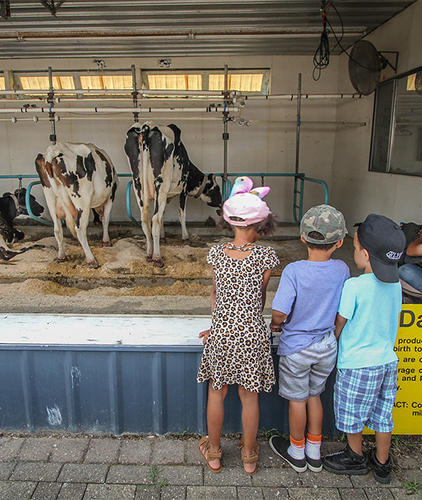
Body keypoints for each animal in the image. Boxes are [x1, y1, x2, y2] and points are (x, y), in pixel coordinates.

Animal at [124, 121, 223, 266]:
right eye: (217, 190)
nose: (222, 204)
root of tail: (146, 127)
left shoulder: (163, 196)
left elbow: (163, 215)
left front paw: (162, 237)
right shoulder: (183, 190)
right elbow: (181, 214)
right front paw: (185, 238)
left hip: (138, 185)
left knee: (146, 220)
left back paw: (149, 253)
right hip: (161, 185)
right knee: (155, 219)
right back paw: (157, 257)